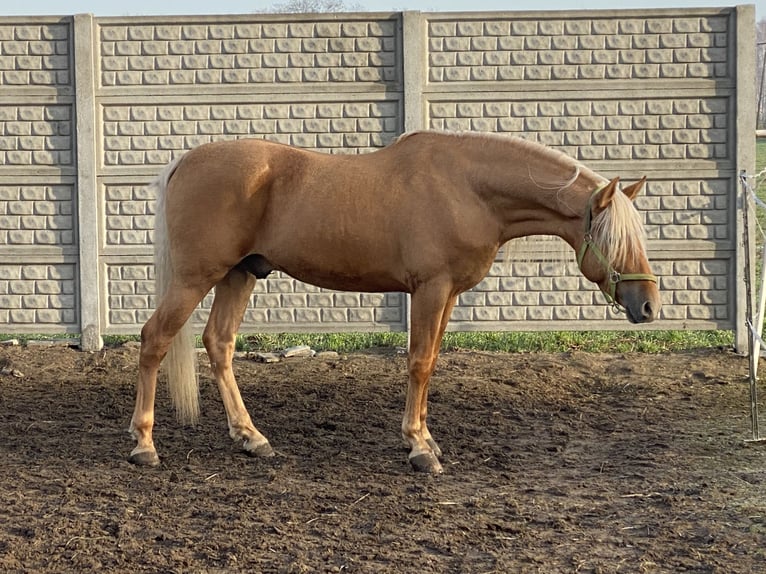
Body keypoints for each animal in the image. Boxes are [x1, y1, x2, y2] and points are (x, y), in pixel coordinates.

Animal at [129, 133, 664, 474]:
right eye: (614, 240)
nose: (649, 308)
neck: (468, 188)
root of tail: (183, 164)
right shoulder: (430, 288)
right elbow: (420, 364)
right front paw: (420, 449)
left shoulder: (448, 294)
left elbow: (431, 363)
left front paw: (425, 438)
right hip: (197, 277)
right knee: (154, 340)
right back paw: (145, 445)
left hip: (240, 274)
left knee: (219, 344)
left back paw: (251, 438)